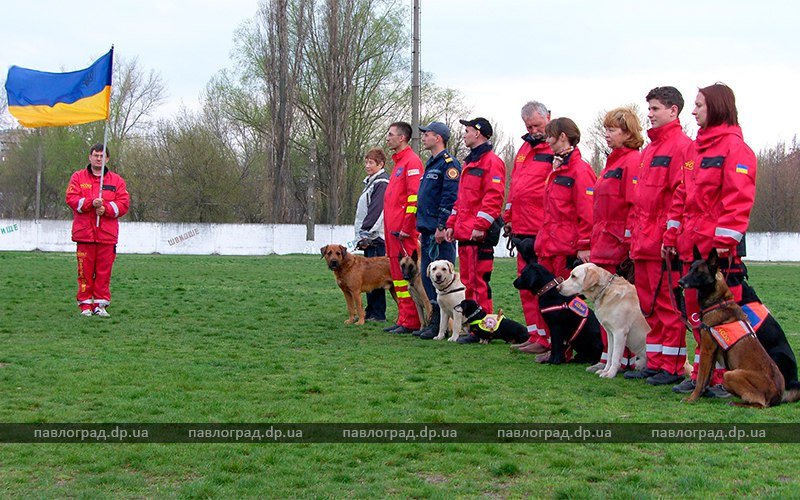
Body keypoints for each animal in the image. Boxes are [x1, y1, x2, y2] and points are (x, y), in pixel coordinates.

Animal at [512, 236, 600, 366]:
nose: (514, 282)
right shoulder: (551, 327)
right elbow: (554, 346)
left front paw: (555, 361)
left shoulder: (556, 327)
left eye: (523, 274)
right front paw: (550, 360)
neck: (548, 290)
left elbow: (557, 346)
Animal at [680, 248, 796, 408]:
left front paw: (692, 398)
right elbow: (706, 378)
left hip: (730, 374)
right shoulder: (712, 353)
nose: (680, 282)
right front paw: (701, 394)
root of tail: (778, 395)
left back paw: (736, 403)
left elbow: (700, 379)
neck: (719, 301)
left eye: (699, 272)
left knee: (760, 403)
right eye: (690, 269)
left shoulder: (707, 349)